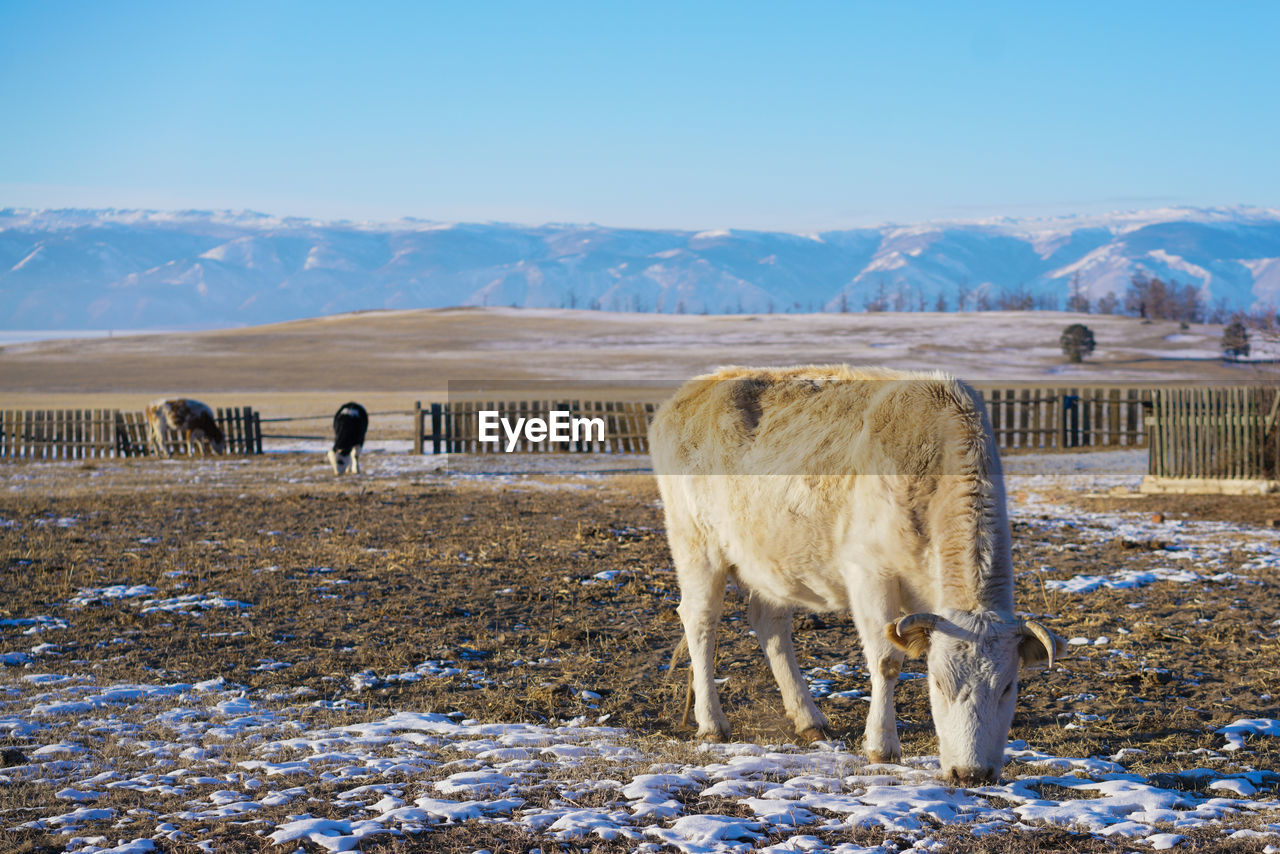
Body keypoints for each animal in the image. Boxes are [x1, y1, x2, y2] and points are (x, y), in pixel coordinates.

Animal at [650, 363, 1070, 783]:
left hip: (770, 557)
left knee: (770, 624)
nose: (972, 773)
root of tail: (694, 388)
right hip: (695, 544)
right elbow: (886, 660)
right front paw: (882, 746)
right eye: (937, 682)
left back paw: (809, 719)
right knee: (701, 622)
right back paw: (712, 723)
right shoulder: (870, 574)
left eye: (1008, 687)